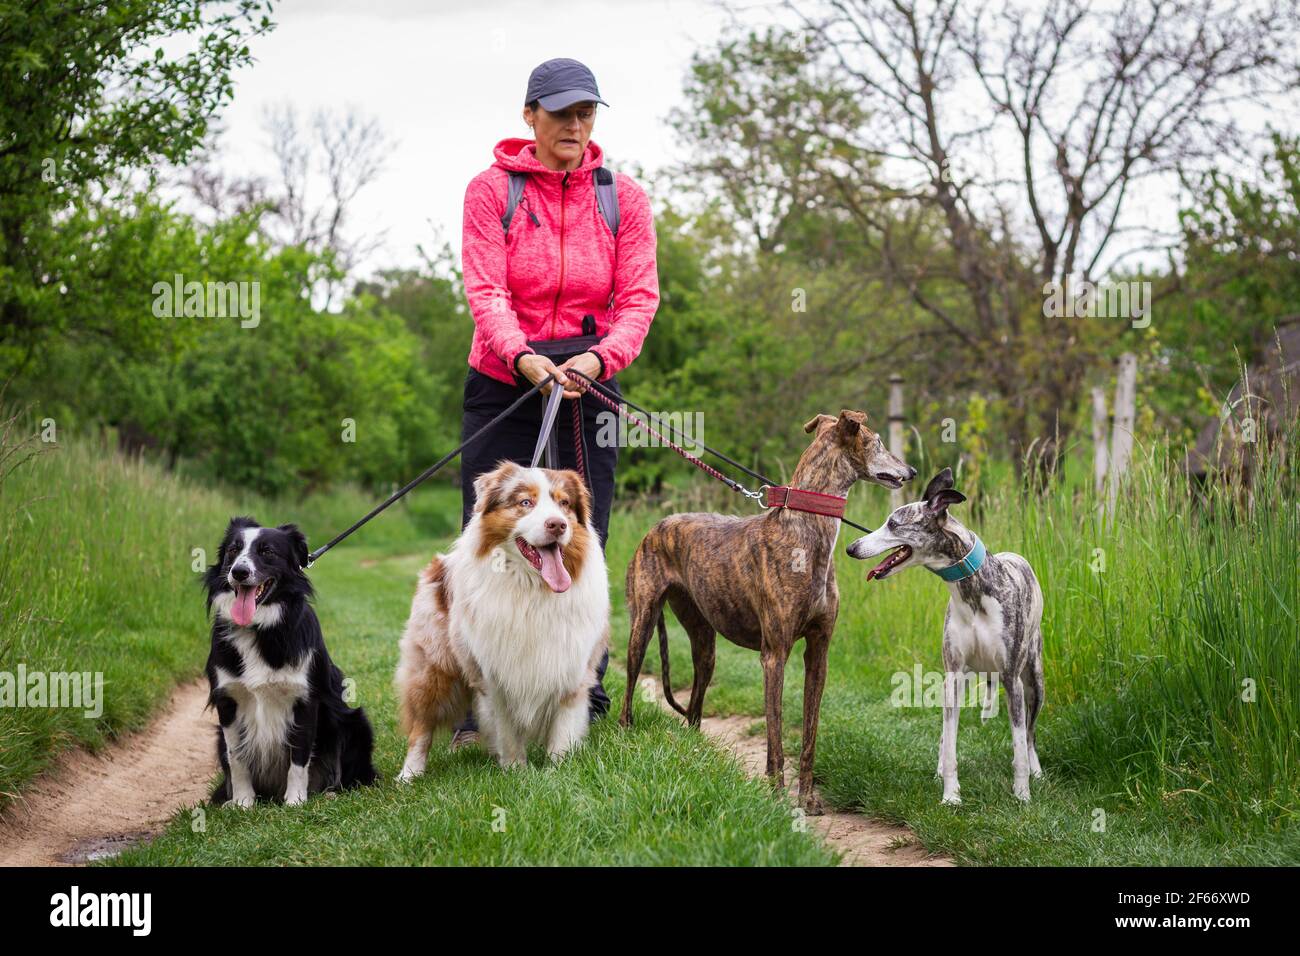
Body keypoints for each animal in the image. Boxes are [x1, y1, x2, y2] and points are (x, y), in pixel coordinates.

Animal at [392, 463, 611, 780]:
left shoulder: (571, 670)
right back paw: (410, 775)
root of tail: (440, 564)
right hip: (434, 667)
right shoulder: (495, 676)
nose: (557, 525)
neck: (531, 591)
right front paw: (516, 771)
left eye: (564, 503)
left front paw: (558, 771)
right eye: (525, 502)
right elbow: (507, 730)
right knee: (421, 727)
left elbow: (562, 730)